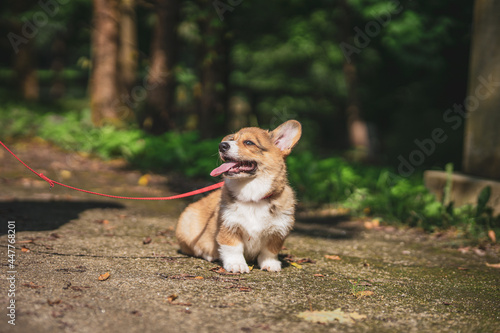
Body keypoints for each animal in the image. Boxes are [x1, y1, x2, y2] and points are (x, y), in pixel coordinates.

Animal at [176, 119, 300, 272]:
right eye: (232, 139)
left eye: (249, 142)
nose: (221, 145)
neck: (253, 197)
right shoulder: (229, 226)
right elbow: (233, 249)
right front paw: (237, 265)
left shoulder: (278, 231)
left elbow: (269, 251)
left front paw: (271, 264)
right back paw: (210, 255)